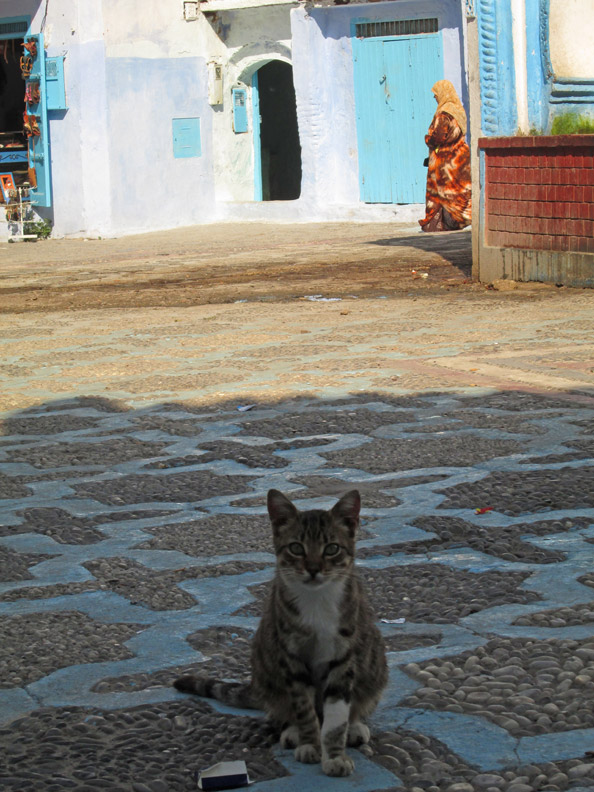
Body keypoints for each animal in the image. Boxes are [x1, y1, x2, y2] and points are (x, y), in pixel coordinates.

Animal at [173, 486, 386, 776]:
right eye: (296, 547)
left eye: (332, 549)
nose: (313, 569)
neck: (316, 603)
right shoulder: (291, 655)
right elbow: (303, 708)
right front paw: (310, 744)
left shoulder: (343, 656)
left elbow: (336, 716)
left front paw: (334, 756)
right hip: (265, 661)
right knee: (283, 710)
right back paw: (292, 731)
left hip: (375, 663)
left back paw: (354, 726)